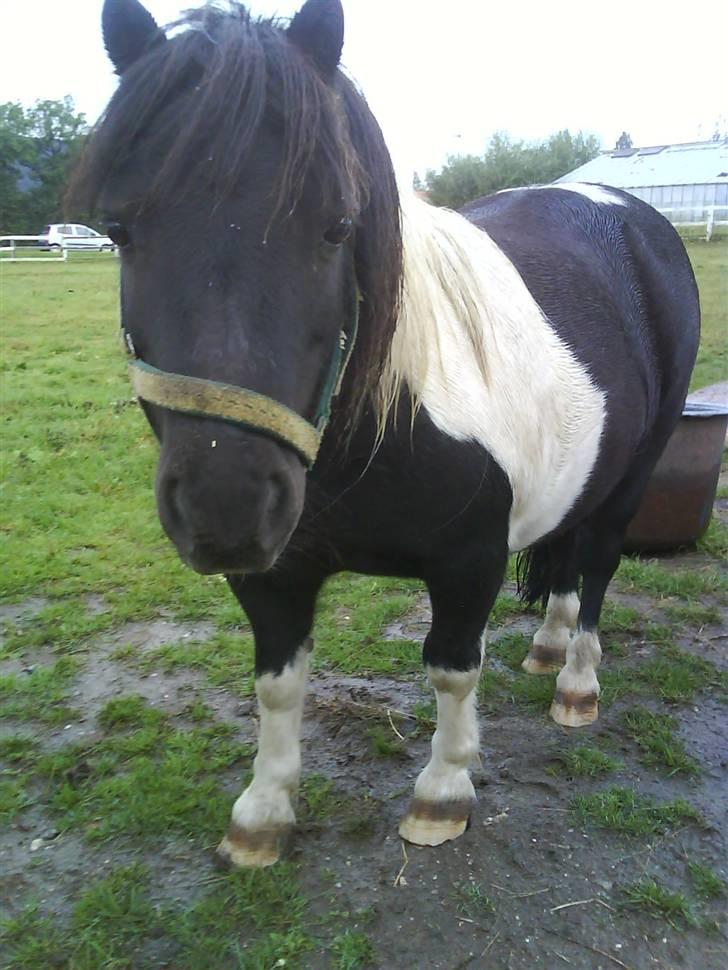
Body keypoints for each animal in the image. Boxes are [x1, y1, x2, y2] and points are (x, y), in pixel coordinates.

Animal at [80, 0, 700, 867]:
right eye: (119, 230)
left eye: (338, 226)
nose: (226, 505)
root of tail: (631, 215)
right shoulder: (273, 572)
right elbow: (277, 682)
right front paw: (262, 812)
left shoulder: (470, 561)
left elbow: (451, 669)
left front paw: (443, 794)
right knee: (569, 557)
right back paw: (547, 645)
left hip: (634, 476)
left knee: (600, 562)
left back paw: (576, 684)